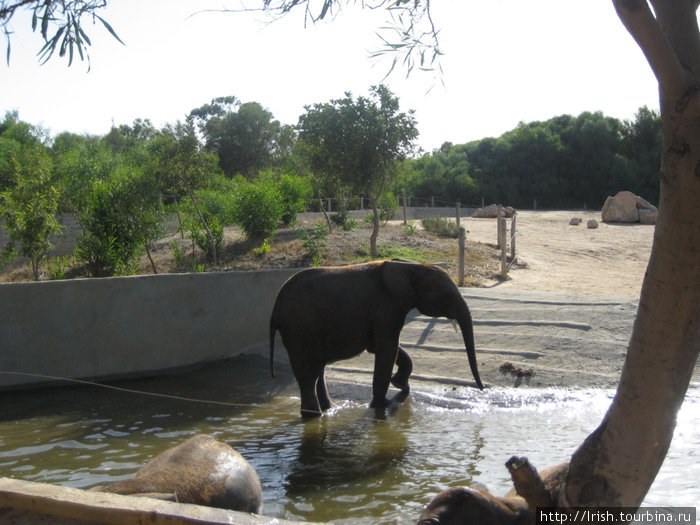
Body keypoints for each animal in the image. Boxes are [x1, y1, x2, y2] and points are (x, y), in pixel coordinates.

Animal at [270, 258, 484, 418]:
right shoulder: (385, 307)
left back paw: (329, 409)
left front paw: (399, 385)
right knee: (309, 374)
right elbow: (388, 348)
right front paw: (384, 405)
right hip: (299, 330)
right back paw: (314, 416)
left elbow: (385, 347)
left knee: (317, 372)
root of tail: (276, 305)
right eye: (444, 296)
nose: (482, 388)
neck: (410, 266)